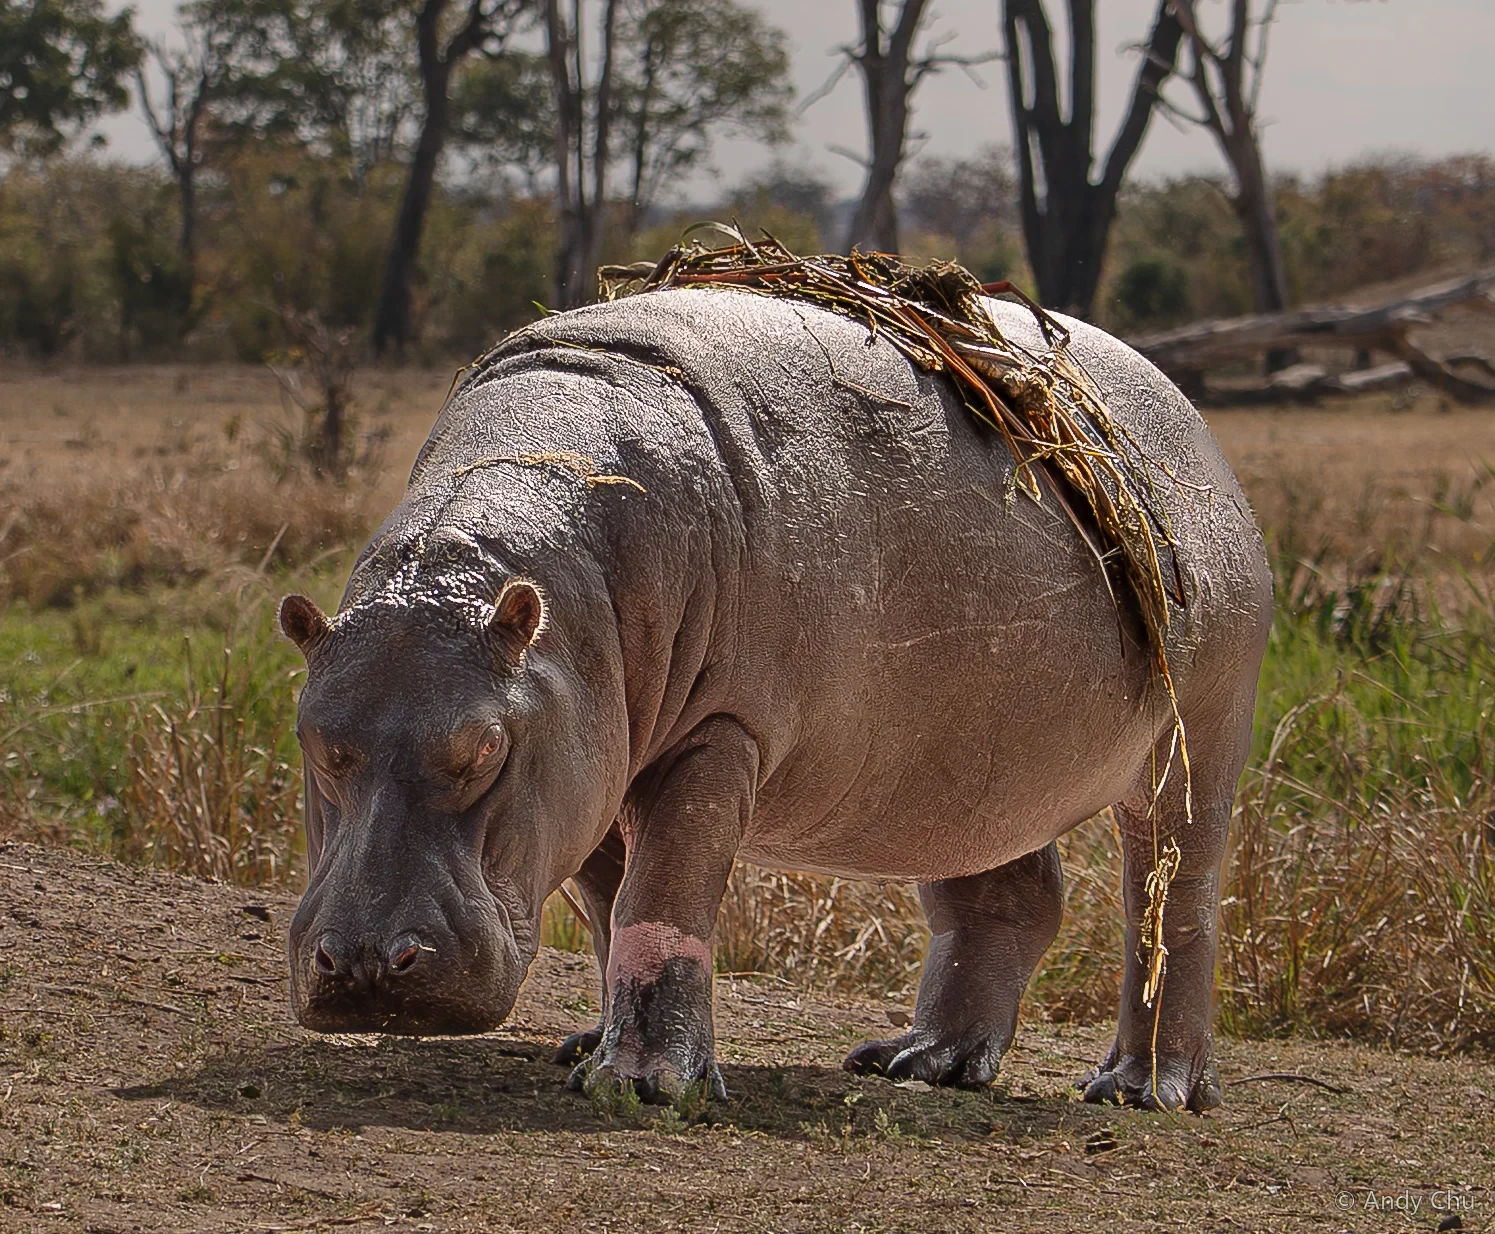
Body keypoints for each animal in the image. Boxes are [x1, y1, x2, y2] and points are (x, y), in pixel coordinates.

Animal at [278, 286, 1271, 1113]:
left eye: (483, 747)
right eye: (316, 737)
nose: (364, 964)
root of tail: (1194, 429)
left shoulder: (714, 731)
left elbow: (662, 892)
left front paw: (646, 1085)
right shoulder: (590, 753)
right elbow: (607, 903)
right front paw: (592, 1049)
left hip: (1195, 741)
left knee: (1174, 902)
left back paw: (1143, 1089)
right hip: (962, 759)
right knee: (1008, 893)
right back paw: (921, 1062)